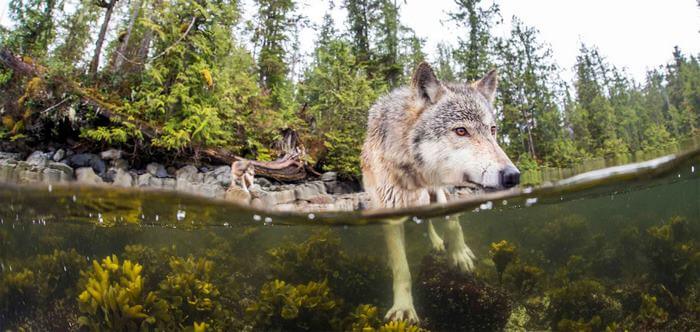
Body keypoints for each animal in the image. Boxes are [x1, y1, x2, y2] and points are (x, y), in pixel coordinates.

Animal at [360, 61, 520, 322]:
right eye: (461, 131)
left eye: (493, 130)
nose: (512, 176)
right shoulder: (390, 212)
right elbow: (401, 268)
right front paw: (404, 308)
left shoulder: (447, 189)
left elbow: (453, 223)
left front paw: (459, 254)